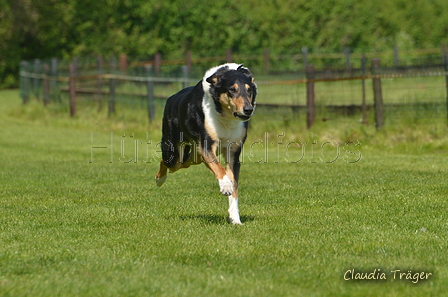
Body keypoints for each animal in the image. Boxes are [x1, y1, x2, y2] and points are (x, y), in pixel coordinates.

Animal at [156, 63, 258, 224]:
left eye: (249, 90)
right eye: (232, 90)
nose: (248, 109)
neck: (226, 116)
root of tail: (171, 98)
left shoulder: (233, 154)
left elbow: (234, 186)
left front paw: (235, 218)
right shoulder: (207, 146)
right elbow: (220, 169)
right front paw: (225, 186)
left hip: (195, 156)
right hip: (174, 154)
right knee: (164, 161)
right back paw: (160, 180)